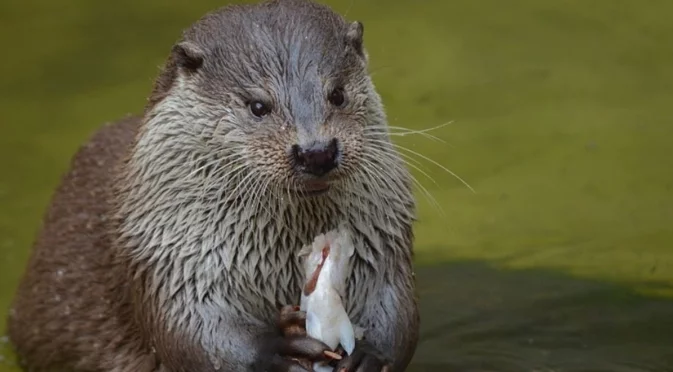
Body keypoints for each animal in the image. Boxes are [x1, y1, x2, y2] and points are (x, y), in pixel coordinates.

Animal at [7, 0, 420, 372]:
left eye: (337, 94)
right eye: (258, 106)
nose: (316, 151)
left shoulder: (382, 238)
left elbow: (397, 310)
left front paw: (371, 354)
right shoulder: (167, 254)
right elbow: (192, 333)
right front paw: (275, 349)